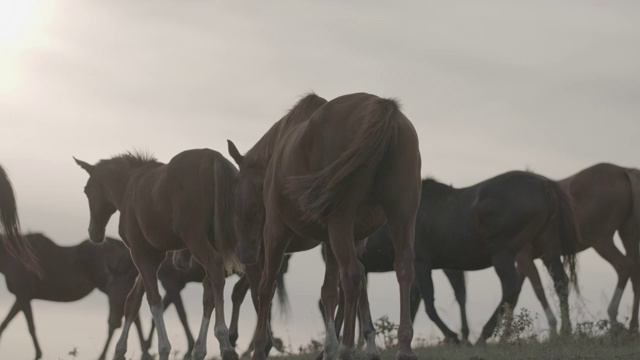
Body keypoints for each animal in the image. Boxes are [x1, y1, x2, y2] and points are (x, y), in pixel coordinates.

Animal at [0, 233, 146, 360]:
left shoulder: (23, 294)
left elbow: (30, 327)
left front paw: (38, 355)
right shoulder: (22, 297)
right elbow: (6, 323)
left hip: (112, 287)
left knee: (120, 319)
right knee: (132, 314)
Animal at [73, 148, 242, 360]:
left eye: (86, 190)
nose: (94, 233)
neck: (130, 186)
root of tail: (214, 157)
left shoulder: (140, 253)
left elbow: (154, 300)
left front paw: (163, 348)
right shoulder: (154, 257)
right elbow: (133, 301)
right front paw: (120, 350)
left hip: (196, 239)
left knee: (215, 268)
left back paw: (224, 341)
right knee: (210, 289)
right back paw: (203, 348)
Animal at [228, 93, 422, 360]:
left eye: (237, 188)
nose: (245, 254)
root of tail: (382, 107)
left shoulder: (276, 231)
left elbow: (266, 286)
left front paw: (260, 348)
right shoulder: (335, 241)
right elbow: (329, 292)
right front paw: (332, 347)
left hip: (341, 220)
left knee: (352, 275)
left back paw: (347, 347)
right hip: (402, 215)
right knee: (403, 268)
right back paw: (403, 347)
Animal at [516, 162, 640, 332]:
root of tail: (623, 170)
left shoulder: (524, 258)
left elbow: (537, 289)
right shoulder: (523, 262)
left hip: (601, 241)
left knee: (624, 266)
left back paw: (613, 318)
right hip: (628, 235)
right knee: (635, 275)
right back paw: (633, 327)